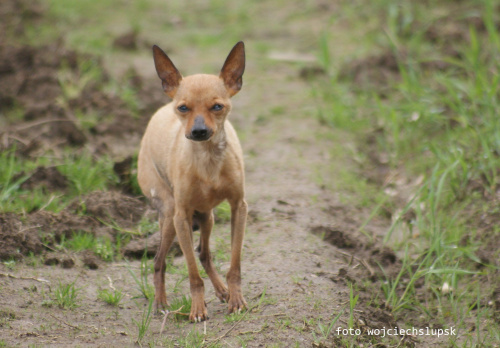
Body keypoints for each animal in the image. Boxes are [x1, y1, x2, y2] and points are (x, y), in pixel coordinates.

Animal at [137, 42, 248, 322]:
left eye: (217, 107)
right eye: (183, 108)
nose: (198, 131)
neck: (208, 159)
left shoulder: (238, 208)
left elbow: (234, 265)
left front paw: (236, 299)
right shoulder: (182, 217)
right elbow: (192, 275)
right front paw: (197, 309)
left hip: (207, 217)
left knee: (204, 253)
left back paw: (222, 290)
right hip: (169, 216)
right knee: (159, 261)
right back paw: (160, 303)